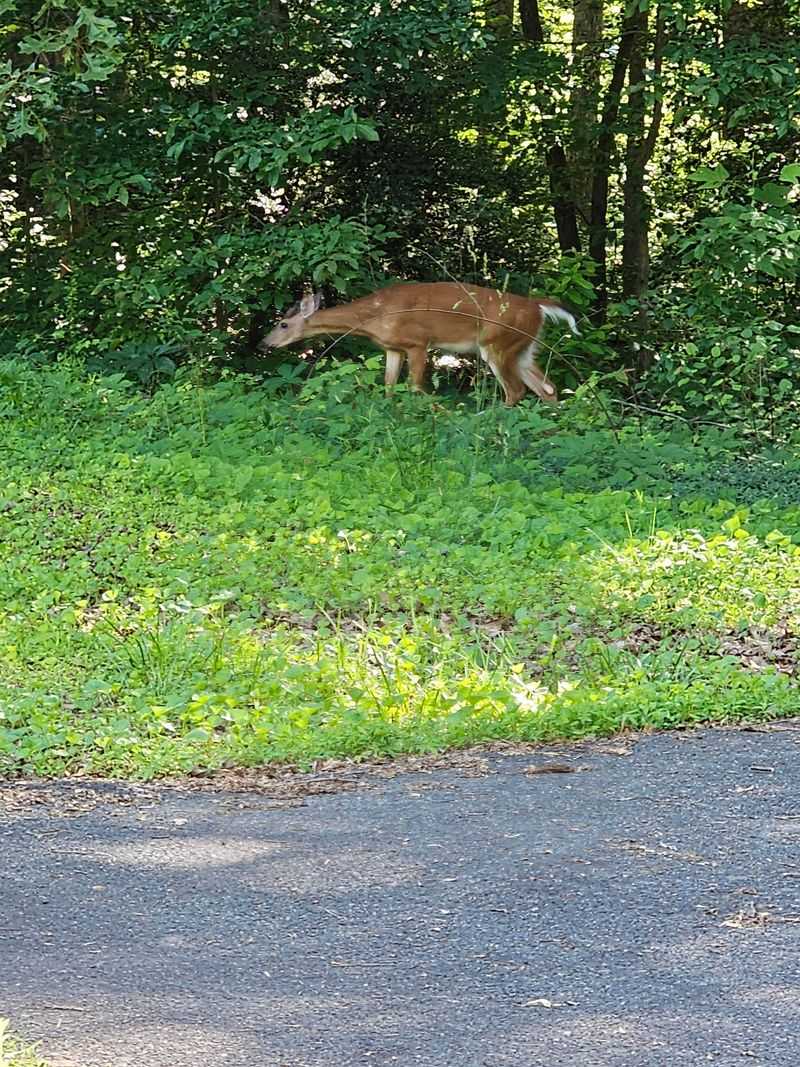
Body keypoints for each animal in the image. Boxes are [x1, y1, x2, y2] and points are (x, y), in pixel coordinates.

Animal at [260, 281, 580, 406]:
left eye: (283, 324)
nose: (264, 344)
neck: (375, 315)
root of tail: (537, 307)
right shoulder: (392, 347)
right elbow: (389, 386)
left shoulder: (417, 343)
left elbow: (415, 387)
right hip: (523, 347)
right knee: (547, 387)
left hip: (497, 344)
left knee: (515, 390)